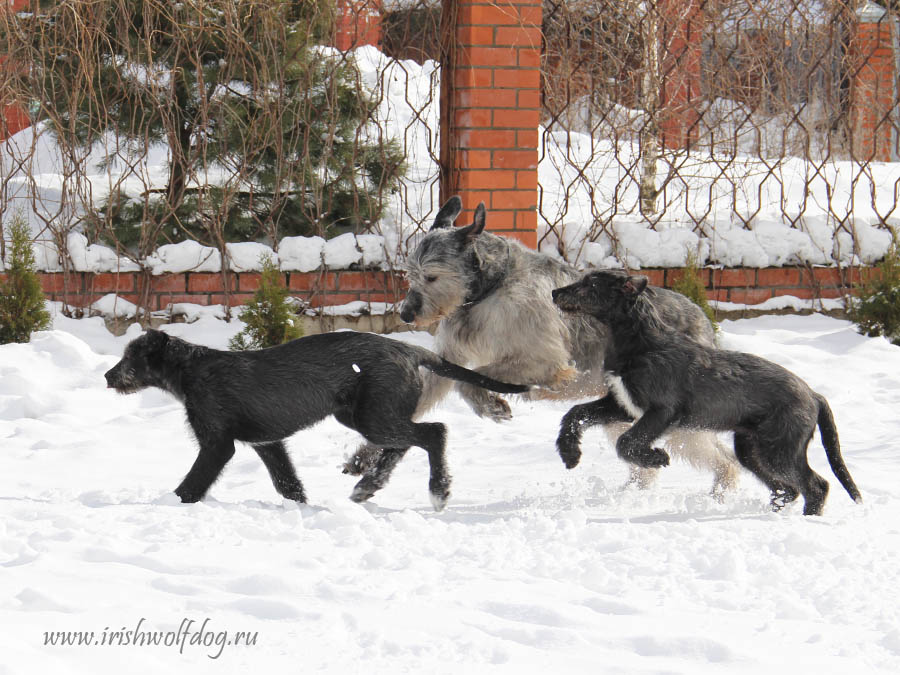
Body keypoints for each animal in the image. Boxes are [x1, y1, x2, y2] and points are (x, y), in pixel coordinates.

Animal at [104, 330, 528, 510]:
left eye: (130, 358)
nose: (107, 376)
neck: (190, 369)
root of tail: (411, 350)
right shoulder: (268, 444)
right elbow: (288, 483)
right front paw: (304, 509)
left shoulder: (217, 444)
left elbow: (192, 484)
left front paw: (172, 504)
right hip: (364, 415)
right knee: (404, 444)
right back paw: (367, 487)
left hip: (374, 416)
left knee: (434, 433)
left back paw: (438, 491)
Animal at [342, 195, 740, 492]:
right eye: (410, 274)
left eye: (432, 276)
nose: (407, 314)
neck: (491, 287)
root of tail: (702, 319)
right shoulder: (449, 356)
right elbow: (437, 385)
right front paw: (366, 454)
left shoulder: (543, 361)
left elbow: (472, 379)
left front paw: (490, 403)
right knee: (647, 466)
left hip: (675, 416)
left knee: (722, 458)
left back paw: (723, 487)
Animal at [552, 272, 860, 516]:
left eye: (590, 284)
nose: (555, 293)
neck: (643, 341)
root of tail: (814, 395)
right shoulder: (621, 405)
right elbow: (575, 414)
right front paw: (569, 454)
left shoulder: (661, 411)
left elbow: (625, 442)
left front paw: (656, 457)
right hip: (751, 450)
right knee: (787, 489)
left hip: (780, 449)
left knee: (816, 485)